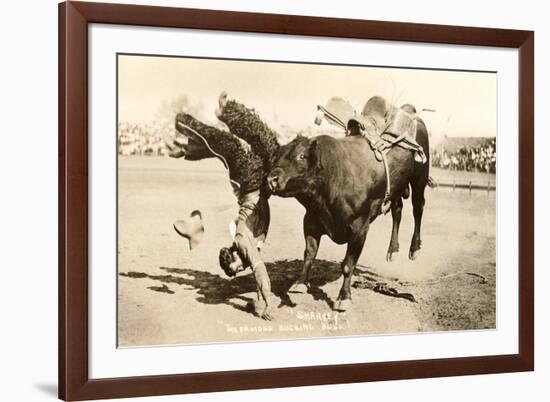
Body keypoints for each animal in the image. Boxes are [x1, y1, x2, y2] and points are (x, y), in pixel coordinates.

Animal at [168, 93, 432, 314]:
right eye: (277, 155)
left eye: (301, 157)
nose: (271, 179)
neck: (331, 180)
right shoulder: (311, 220)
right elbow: (309, 254)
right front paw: (300, 283)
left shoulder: (360, 228)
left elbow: (348, 264)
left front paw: (343, 298)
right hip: (397, 187)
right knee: (397, 209)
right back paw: (393, 250)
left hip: (419, 178)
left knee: (418, 208)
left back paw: (414, 248)